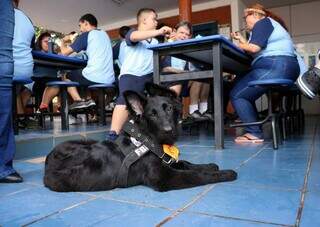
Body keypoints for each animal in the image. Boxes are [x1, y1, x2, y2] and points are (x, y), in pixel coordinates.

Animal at [43, 83, 236, 192]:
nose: (169, 130)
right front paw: (225, 173)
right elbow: (196, 175)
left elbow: (187, 164)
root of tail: (47, 162)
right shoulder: (163, 178)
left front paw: (210, 165)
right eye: (152, 115)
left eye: (169, 109)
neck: (146, 140)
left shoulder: (167, 161)